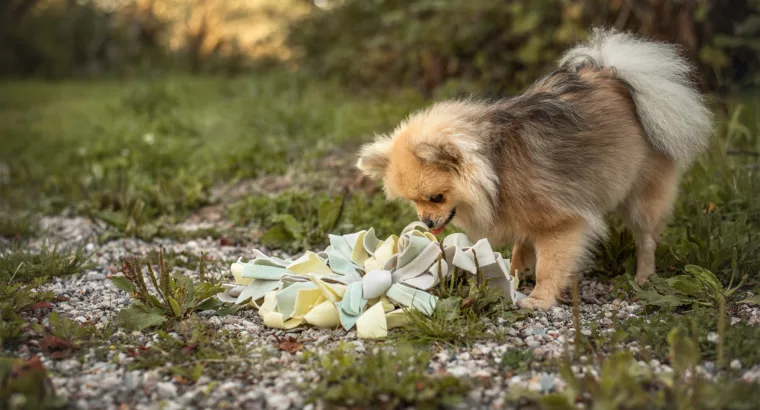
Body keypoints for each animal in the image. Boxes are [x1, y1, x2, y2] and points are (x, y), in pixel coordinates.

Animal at [354, 28, 716, 310]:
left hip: (644, 194)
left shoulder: (560, 222)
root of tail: (618, 76)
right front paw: (512, 275)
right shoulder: (523, 213)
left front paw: (539, 298)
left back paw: (643, 276)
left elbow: (550, 264)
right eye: (413, 202)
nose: (426, 223)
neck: (495, 166)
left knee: (647, 238)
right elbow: (520, 249)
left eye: (437, 197)